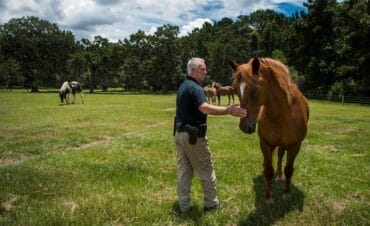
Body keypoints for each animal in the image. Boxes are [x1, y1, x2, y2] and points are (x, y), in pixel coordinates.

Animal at [228, 57, 310, 204]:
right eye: (236, 89)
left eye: (254, 91)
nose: (244, 127)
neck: (281, 113)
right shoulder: (265, 144)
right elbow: (268, 171)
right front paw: (269, 197)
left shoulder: (295, 146)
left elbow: (289, 170)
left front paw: (287, 193)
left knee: (280, 157)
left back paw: (279, 177)